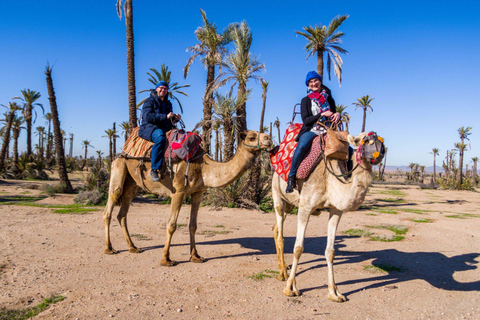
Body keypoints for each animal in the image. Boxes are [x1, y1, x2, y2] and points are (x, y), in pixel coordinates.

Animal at [102, 129, 272, 264]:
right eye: (251, 136)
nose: (269, 139)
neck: (204, 168)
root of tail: (122, 153)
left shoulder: (198, 192)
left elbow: (193, 225)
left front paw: (195, 256)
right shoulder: (178, 191)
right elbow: (171, 225)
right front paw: (166, 259)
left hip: (132, 185)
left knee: (122, 213)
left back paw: (133, 247)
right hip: (119, 169)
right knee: (110, 206)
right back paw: (109, 248)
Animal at [272, 131, 384, 302]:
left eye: (380, 139)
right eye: (362, 140)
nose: (381, 150)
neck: (329, 180)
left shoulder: (336, 210)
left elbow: (330, 252)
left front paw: (334, 293)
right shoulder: (305, 207)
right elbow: (298, 248)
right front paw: (290, 289)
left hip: (289, 204)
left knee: (276, 228)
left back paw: (282, 266)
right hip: (277, 195)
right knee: (281, 235)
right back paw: (283, 274)